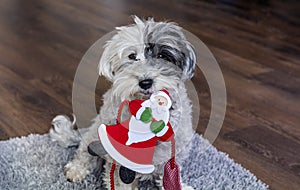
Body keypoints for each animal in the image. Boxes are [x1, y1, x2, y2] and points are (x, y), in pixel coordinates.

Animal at [50, 15, 196, 189]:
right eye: (132, 56)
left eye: (162, 56)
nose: (145, 82)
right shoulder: (120, 161)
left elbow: (169, 176)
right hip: (95, 133)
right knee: (85, 152)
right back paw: (77, 169)